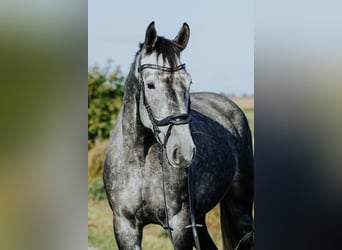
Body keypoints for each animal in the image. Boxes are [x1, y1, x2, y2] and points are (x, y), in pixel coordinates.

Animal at [103, 22, 252, 250]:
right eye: (150, 85)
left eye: (188, 82)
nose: (183, 151)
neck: (141, 161)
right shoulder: (125, 226)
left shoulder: (180, 225)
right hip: (199, 218)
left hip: (240, 208)